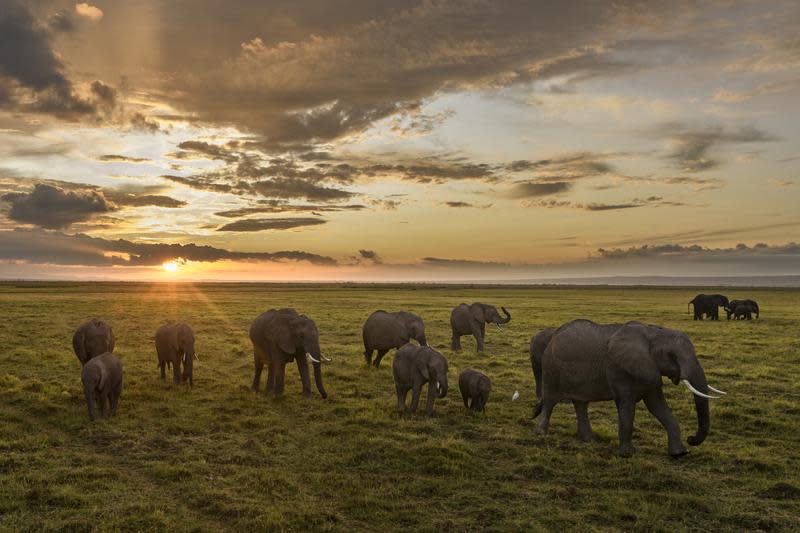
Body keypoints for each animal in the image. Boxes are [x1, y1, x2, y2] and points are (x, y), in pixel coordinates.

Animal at [536, 318, 728, 456]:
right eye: (672, 356)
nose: (691, 439)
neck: (652, 332)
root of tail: (553, 336)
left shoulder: (650, 368)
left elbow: (658, 406)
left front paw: (679, 453)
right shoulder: (618, 369)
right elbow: (627, 405)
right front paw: (627, 454)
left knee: (581, 403)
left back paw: (589, 440)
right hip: (551, 369)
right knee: (550, 400)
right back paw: (541, 434)